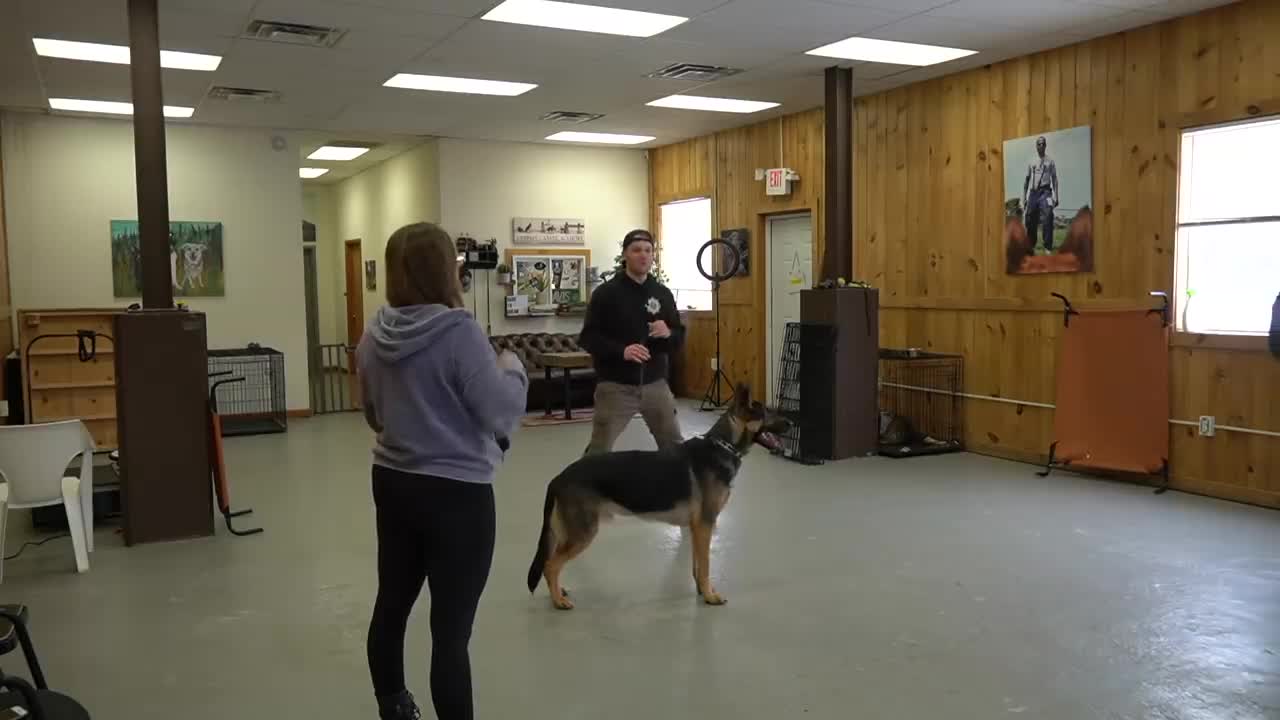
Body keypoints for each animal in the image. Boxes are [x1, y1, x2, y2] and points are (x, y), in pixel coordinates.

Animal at [527, 381, 788, 604]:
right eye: (767, 413)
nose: (792, 423)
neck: (723, 445)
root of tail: (559, 477)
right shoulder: (705, 525)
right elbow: (705, 565)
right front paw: (710, 596)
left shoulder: (697, 528)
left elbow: (697, 566)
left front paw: (702, 591)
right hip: (583, 533)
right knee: (550, 565)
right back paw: (558, 601)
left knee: (552, 564)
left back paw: (558, 591)